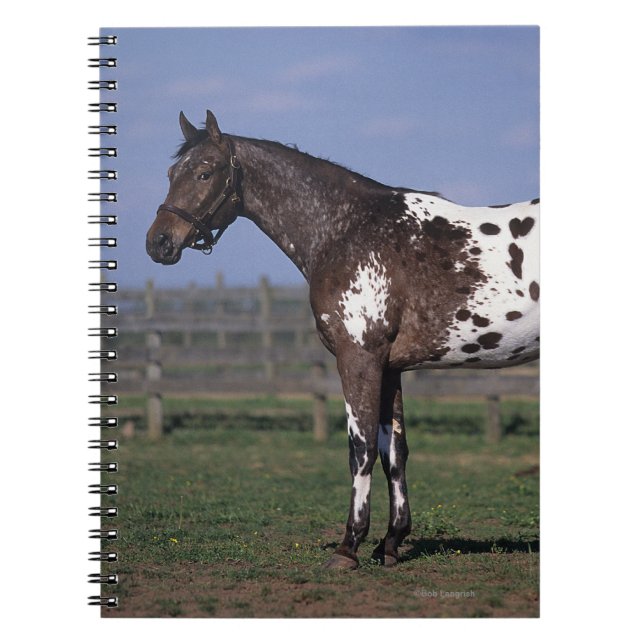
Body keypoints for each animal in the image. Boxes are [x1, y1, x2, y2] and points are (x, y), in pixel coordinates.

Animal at [146, 110, 540, 570]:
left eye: (205, 173)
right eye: (171, 174)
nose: (158, 242)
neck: (348, 230)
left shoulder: (358, 358)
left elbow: (361, 448)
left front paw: (349, 546)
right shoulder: (389, 367)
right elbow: (394, 452)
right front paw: (390, 542)